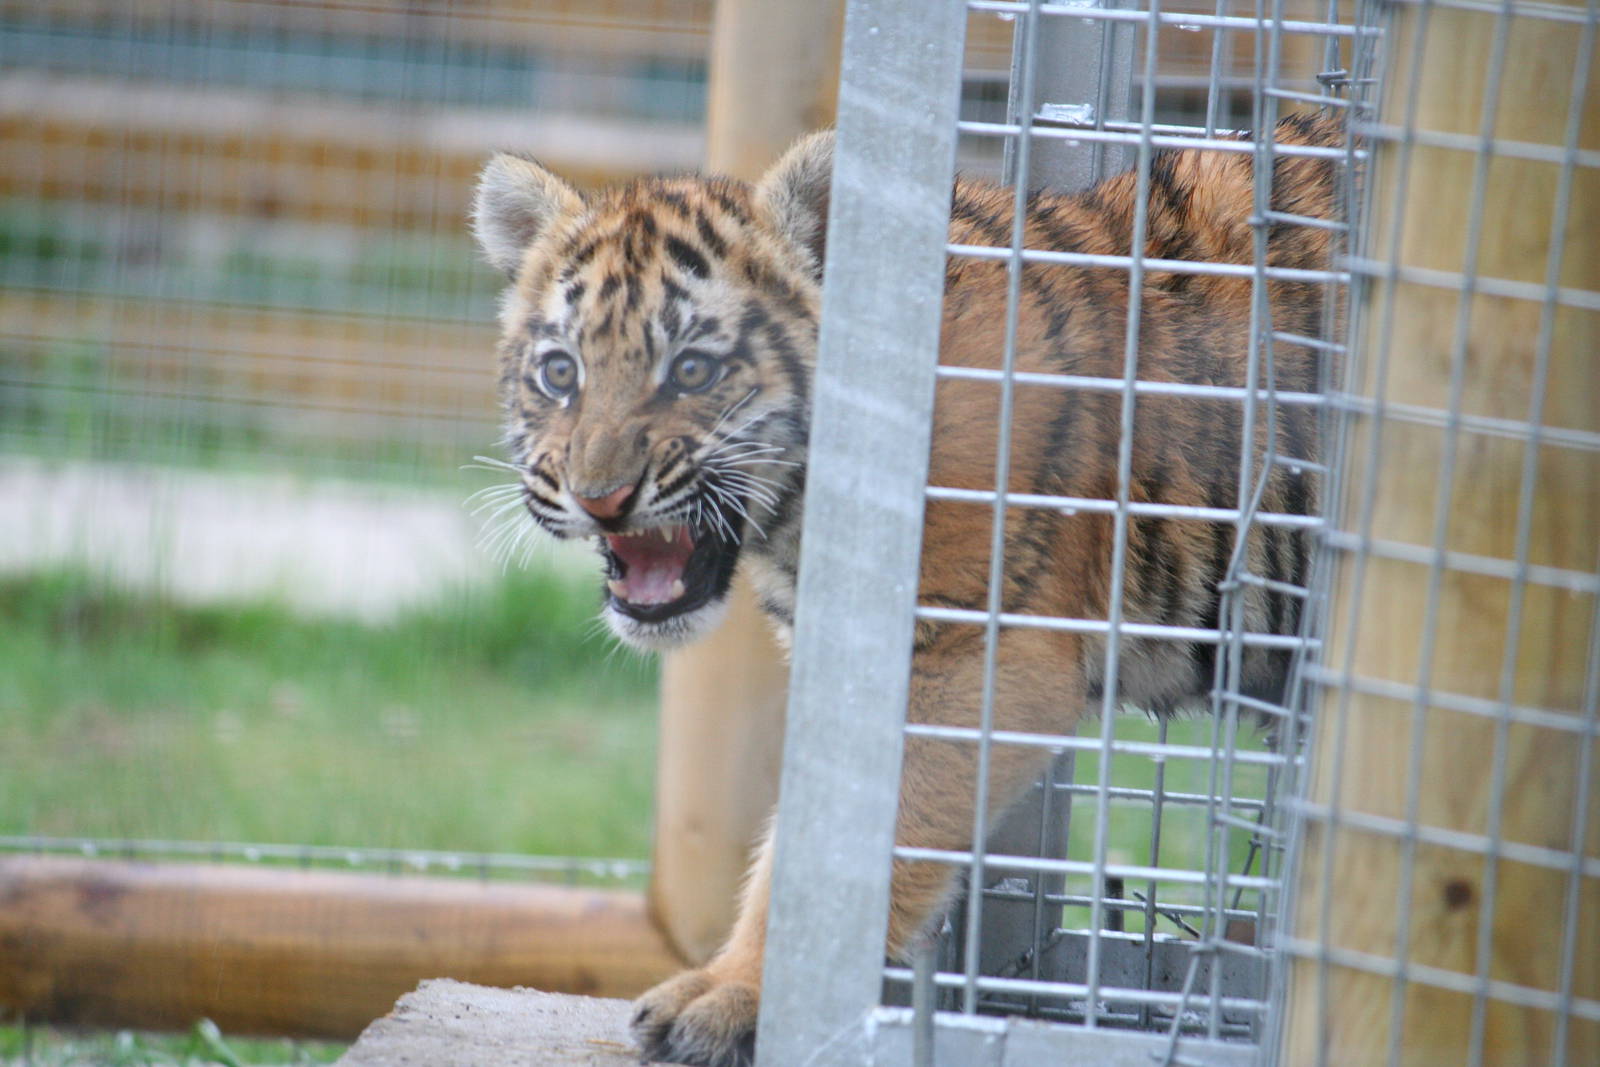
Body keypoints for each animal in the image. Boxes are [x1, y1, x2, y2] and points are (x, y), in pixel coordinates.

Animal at [471, 111, 1341, 1067]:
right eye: (561, 373)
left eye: (693, 370)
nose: (598, 497)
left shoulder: (974, 652)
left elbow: (854, 843)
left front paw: (741, 997)